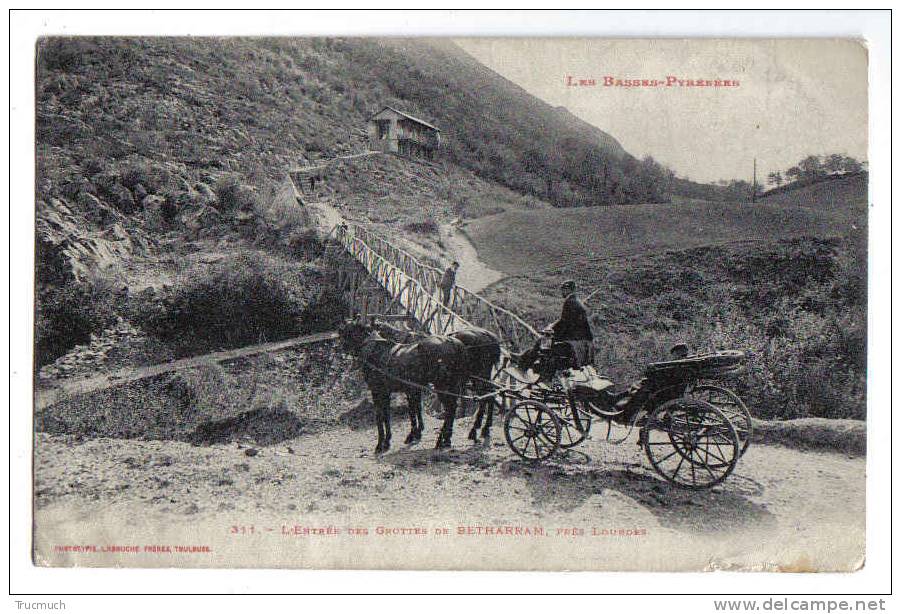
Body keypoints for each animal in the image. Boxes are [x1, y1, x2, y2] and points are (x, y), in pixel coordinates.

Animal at [334, 320, 468, 454]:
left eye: (346, 331)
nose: (340, 348)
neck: (375, 352)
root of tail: (452, 342)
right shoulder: (394, 392)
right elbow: (391, 415)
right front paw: (390, 440)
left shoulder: (378, 392)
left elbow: (380, 417)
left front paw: (380, 444)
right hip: (451, 385)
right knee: (452, 409)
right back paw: (446, 440)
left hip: (441, 386)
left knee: (449, 408)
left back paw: (440, 440)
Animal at [370, 322, 500, 442]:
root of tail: (490, 336)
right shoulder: (416, 387)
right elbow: (417, 406)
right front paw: (419, 429)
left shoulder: (411, 388)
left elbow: (413, 408)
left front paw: (414, 433)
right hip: (481, 376)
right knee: (490, 395)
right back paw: (484, 429)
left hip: (476, 376)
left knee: (483, 397)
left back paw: (473, 430)